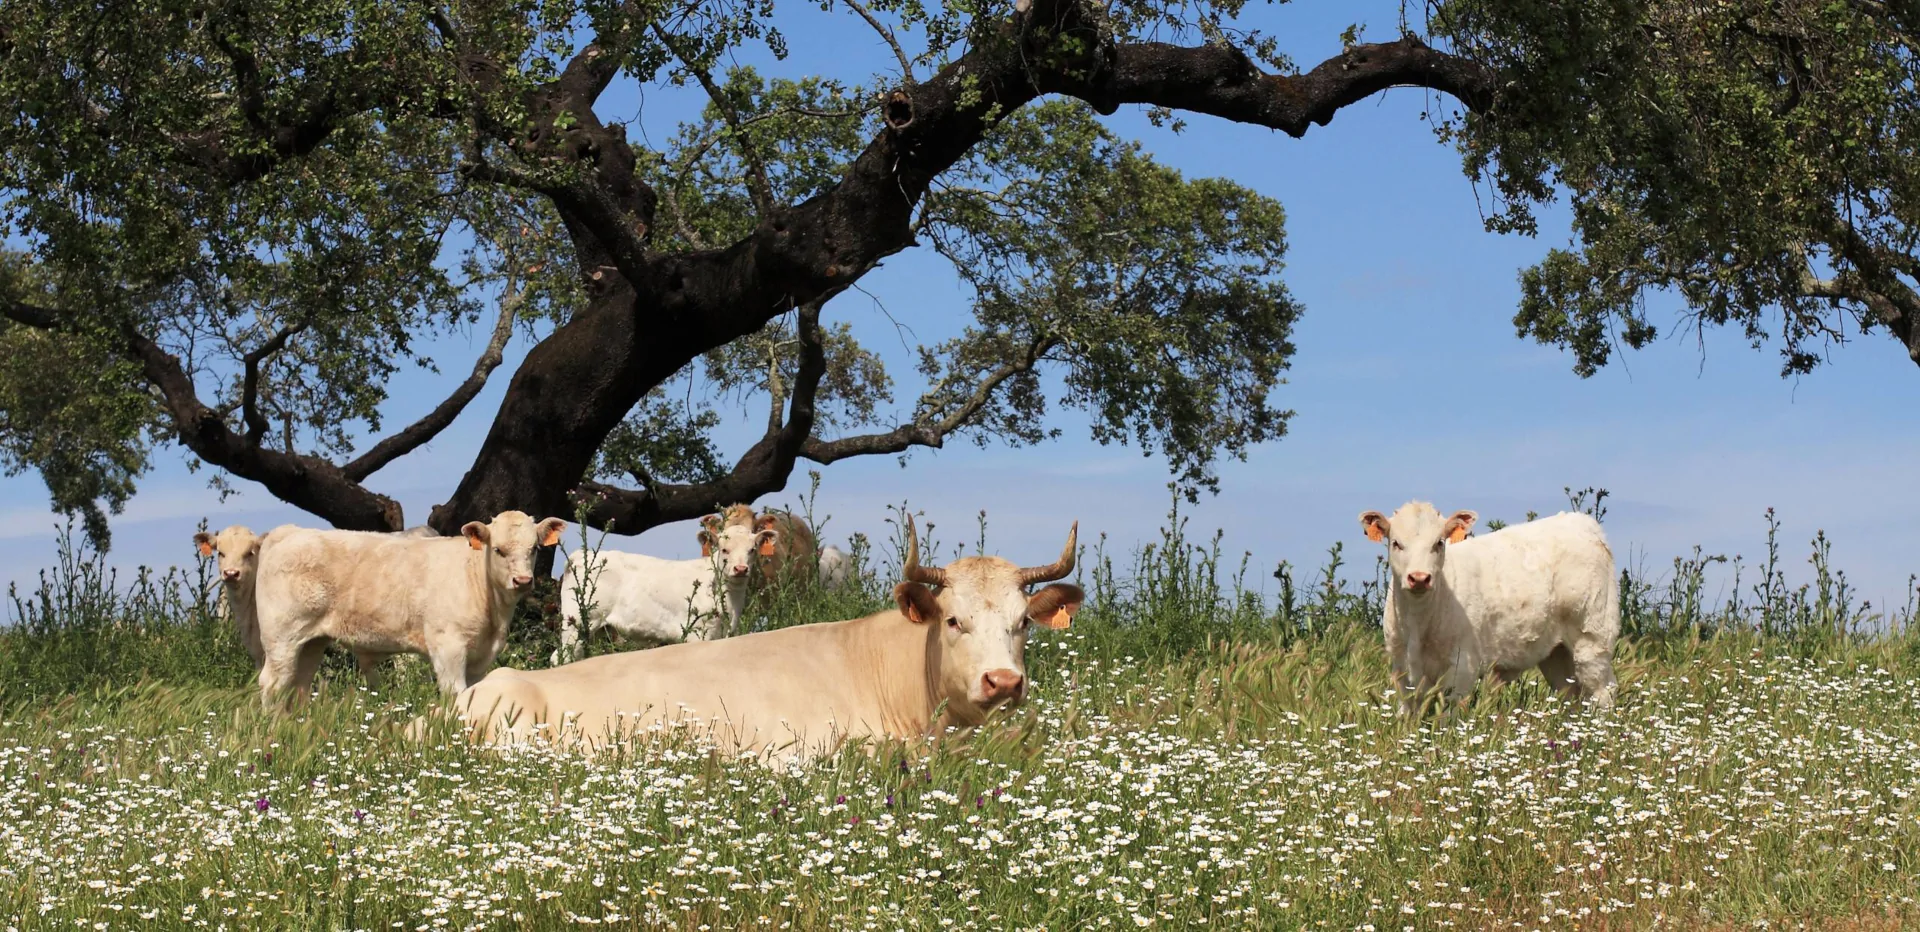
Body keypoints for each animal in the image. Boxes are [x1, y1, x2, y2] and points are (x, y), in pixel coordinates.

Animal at [251, 510, 565, 707]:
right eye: (498, 549)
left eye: (534, 548)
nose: (522, 580)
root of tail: (289, 531)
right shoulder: (448, 646)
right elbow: (455, 692)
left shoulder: (480, 655)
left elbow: (474, 692)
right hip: (282, 637)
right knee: (272, 683)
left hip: (311, 642)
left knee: (297, 684)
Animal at [550, 519, 776, 663]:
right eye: (724, 549)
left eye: (752, 550)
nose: (740, 569)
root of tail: (581, 555)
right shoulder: (697, 633)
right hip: (576, 623)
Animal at [1359, 502, 1619, 715]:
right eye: (1396, 543)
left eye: (1439, 543)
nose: (1420, 578)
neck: (1418, 622)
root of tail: (1582, 522)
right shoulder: (1401, 667)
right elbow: (1408, 715)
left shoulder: (1463, 667)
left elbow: (1447, 717)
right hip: (1557, 653)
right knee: (1570, 695)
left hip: (1592, 640)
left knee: (1603, 693)